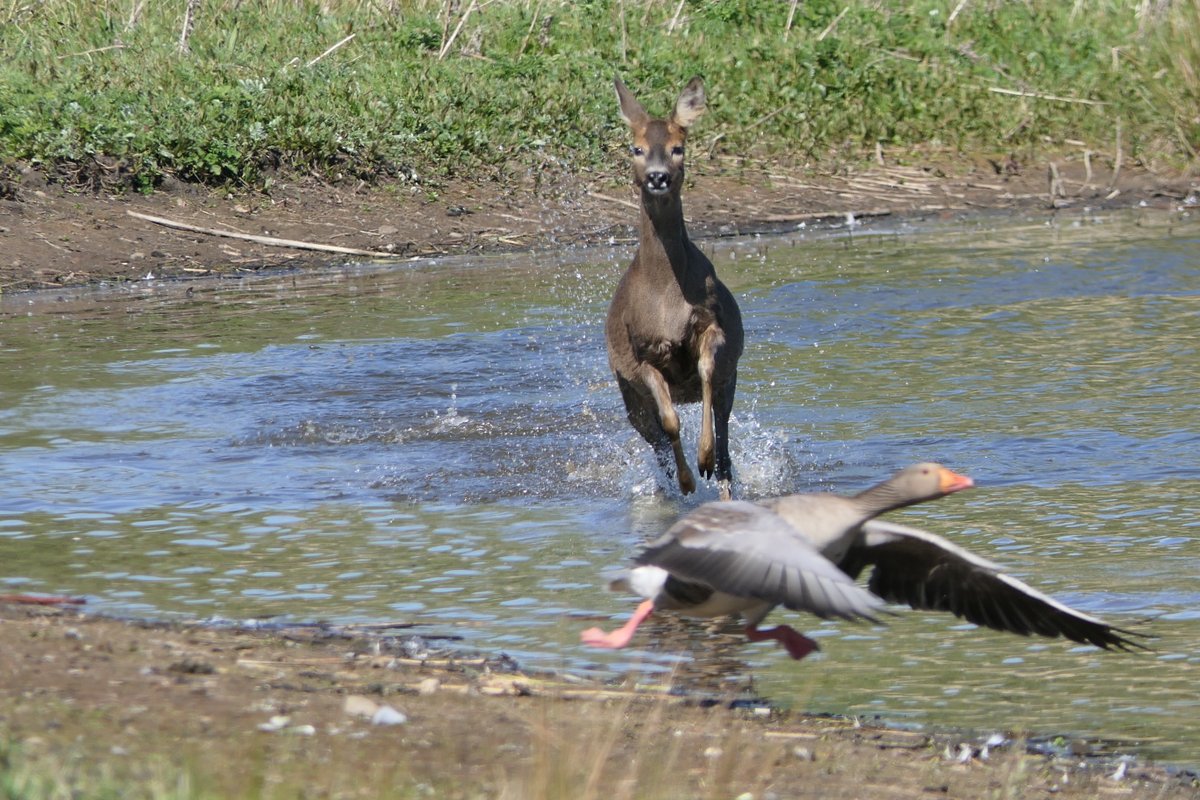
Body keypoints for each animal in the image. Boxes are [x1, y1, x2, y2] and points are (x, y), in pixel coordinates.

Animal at [606, 76, 744, 501]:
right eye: (636, 148)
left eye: (677, 147)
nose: (658, 176)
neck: (667, 297)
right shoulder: (642, 351)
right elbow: (669, 423)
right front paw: (686, 481)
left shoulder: (713, 325)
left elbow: (706, 373)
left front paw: (703, 460)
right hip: (627, 395)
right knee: (656, 441)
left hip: (731, 381)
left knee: (726, 441)